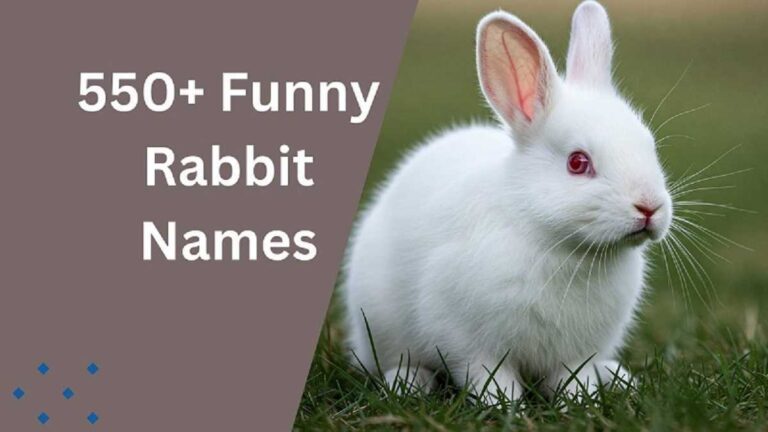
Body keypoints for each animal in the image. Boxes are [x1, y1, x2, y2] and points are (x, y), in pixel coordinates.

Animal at [343, 1, 672, 403]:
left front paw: (581, 400)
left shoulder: (576, 354)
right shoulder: (471, 343)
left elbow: (574, 378)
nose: (649, 207)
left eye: (649, 145)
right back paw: (407, 384)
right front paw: (504, 405)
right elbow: (490, 377)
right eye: (578, 163)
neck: (568, 249)